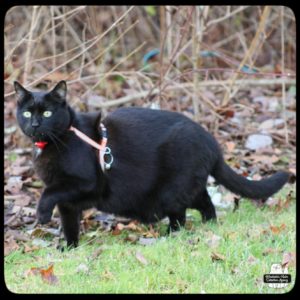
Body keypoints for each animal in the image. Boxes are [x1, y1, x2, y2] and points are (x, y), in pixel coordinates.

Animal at [14, 81, 290, 247]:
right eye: (27, 113)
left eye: (47, 113)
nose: (35, 125)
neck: (56, 141)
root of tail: (212, 143)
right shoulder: (69, 203)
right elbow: (69, 224)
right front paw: (69, 250)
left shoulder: (85, 183)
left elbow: (49, 193)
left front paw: (42, 215)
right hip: (184, 187)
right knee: (204, 201)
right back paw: (208, 225)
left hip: (171, 190)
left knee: (181, 215)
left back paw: (170, 236)